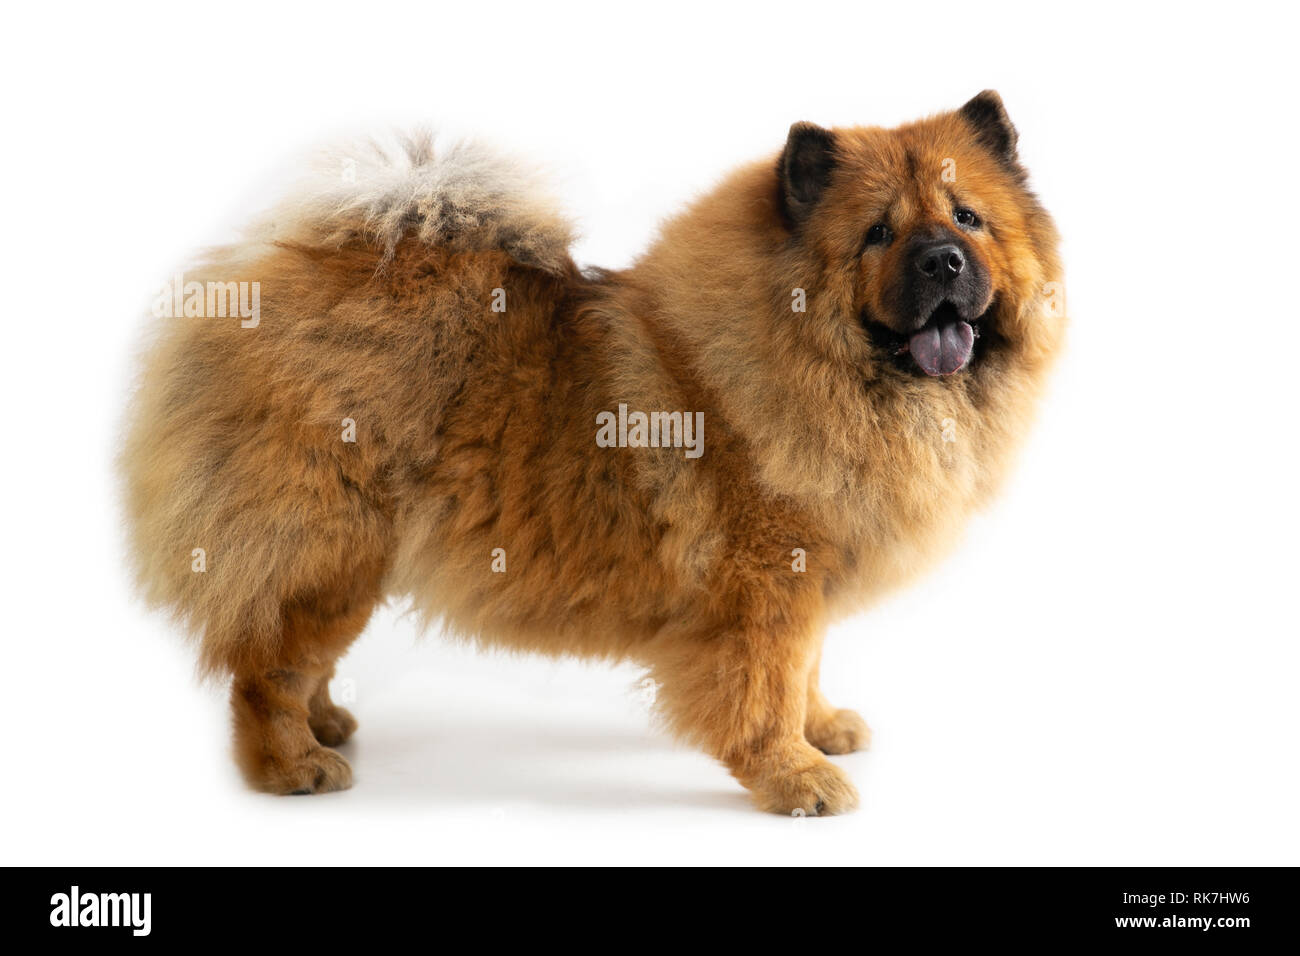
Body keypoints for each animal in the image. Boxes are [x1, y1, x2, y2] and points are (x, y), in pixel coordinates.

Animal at [122, 91, 1060, 816]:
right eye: (877, 234)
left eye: (969, 218)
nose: (944, 261)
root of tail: (272, 280)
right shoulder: (764, 584)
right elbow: (766, 685)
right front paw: (798, 778)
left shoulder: (812, 568)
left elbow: (806, 667)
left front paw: (823, 728)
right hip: (330, 553)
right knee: (267, 668)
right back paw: (296, 767)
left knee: (291, 659)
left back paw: (329, 725)